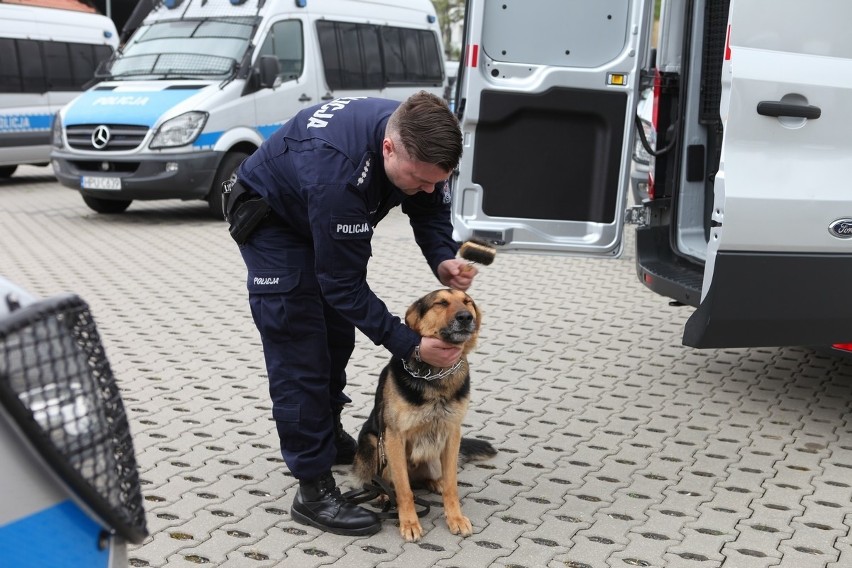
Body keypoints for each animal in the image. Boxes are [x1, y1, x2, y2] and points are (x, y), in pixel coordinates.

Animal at [352, 288, 500, 540]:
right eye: (441, 303)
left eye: (467, 302)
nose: (466, 317)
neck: (436, 374)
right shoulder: (394, 438)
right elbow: (404, 489)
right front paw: (409, 522)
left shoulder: (452, 434)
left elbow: (451, 485)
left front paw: (455, 517)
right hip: (374, 443)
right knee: (387, 480)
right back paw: (383, 494)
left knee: (431, 478)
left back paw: (434, 482)